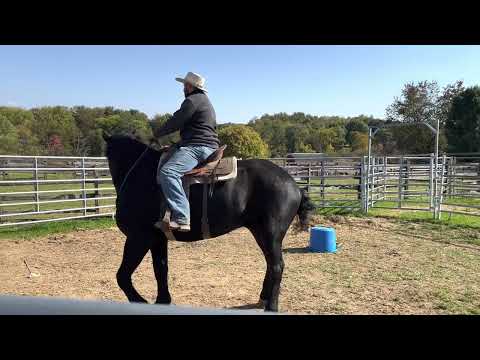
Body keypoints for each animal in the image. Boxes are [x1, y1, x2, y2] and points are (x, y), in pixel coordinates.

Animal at [104, 134, 316, 310]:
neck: (139, 174)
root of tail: (294, 185)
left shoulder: (139, 238)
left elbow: (122, 276)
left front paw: (141, 301)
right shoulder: (157, 239)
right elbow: (161, 269)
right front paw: (163, 301)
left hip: (271, 234)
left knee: (277, 266)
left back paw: (271, 306)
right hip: (261, 233)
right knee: (271, 265)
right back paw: (263, 298)